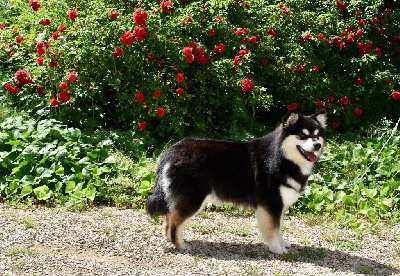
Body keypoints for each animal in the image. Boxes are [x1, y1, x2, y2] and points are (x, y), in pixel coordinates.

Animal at [145, 110, 326, 254]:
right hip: (193, 200)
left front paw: (282, 244)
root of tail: (172, 150)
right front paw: (277, 249)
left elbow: (279, 228)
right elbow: (273, 230)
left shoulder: (279, 207)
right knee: (175, 221)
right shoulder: (271, 205)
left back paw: (171, 240)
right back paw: (180, 245)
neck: (281, 158)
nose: (317, 145)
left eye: (317, 135)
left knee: (170, 216)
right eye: (302, 136)